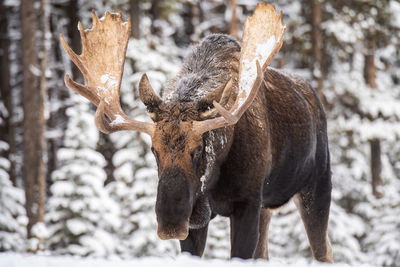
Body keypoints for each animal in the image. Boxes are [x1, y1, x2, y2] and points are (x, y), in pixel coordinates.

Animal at [61, 2, 332, 264]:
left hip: (317, 185)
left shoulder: (248, 202)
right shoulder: (198, 220)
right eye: (153, 150)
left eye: (198, 149)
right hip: (267, 207)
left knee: (324, 250)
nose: (170, 222)